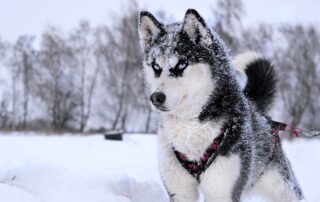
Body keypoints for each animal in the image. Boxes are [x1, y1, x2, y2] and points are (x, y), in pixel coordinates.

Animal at [138, 8, 302, 201]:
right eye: (156, 67)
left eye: (181, 64)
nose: (156, 97)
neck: (191, 126)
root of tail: (258, 111)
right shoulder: (180, 191)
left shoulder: (222, 191)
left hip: (284, 187)